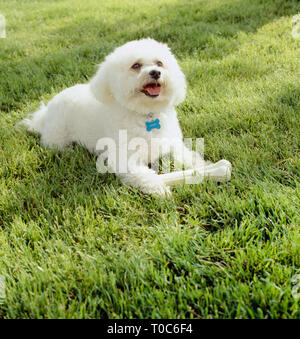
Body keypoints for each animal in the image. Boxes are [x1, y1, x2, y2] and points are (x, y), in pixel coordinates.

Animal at [22, 38, 230, 197]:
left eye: (159, 63)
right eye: (136, 65)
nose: (155, 72)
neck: (146, 114)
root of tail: (45, 112)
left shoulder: (172, 144)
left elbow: (188, 156)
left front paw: (208, 166)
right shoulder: (124, 158)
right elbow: (144, 175)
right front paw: (160, 188)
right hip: (57, 138)